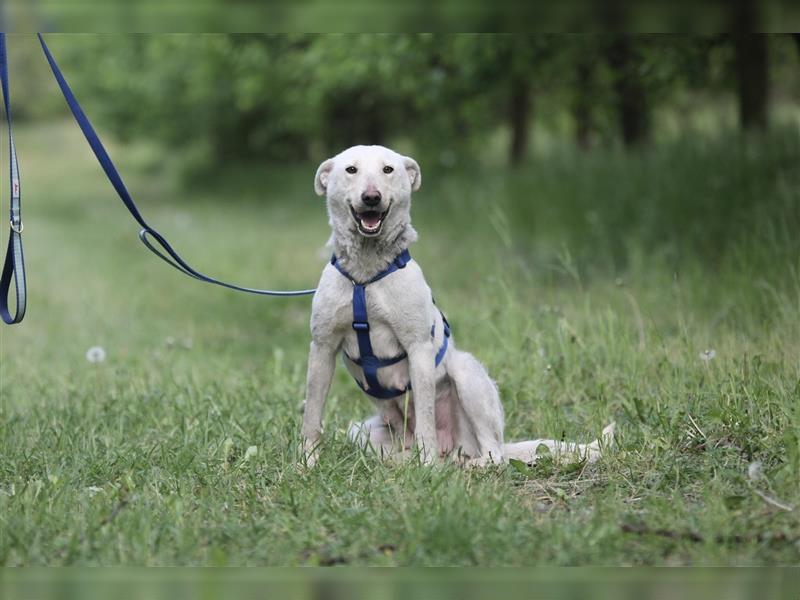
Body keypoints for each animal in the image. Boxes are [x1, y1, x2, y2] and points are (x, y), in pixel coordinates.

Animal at [302, 148, 612, 466]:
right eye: (351, 170)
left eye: (388, 169)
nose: (372, 197)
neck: (365, 277)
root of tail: (454, 449)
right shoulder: (322, 348)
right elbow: (312, 416)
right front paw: (307, 464)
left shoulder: (419, 350)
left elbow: (425, 420)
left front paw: (426, 467)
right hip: (363, 432)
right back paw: (405, 463)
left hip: (466, 374)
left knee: (494, 455)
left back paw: (461, 465)